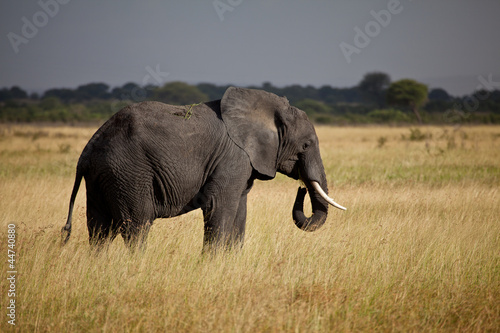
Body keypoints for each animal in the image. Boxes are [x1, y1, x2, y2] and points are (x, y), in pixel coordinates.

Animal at [60, 87, 346, 250]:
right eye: (306, 145)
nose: (301, 188)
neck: (267, 108)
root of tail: (88, 148)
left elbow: (240, 210)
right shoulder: (233, 156)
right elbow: (219, 205)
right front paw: (212, 264)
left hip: (103, 175)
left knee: (99, 229)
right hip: (127, 172)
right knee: (136, 225)